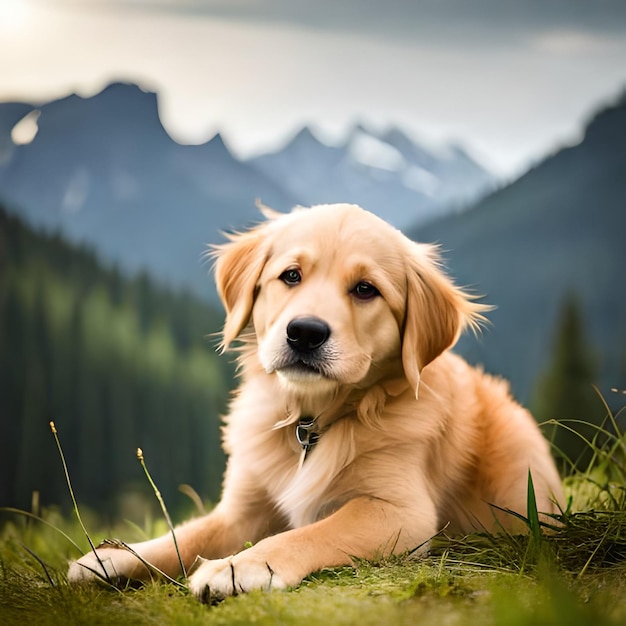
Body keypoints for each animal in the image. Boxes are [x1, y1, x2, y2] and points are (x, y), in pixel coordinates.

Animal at [68, 202, 560, 596]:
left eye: (366, 289)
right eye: (291, 275)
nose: (304, 332)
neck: (311, 421)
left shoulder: (401, 511)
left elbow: (308, 534)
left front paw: (239, 567)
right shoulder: (241, 510)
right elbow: (186, 536)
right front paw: (117, 557)